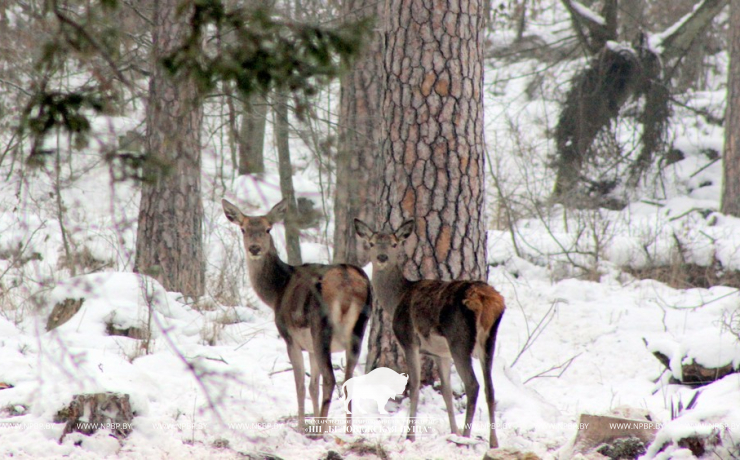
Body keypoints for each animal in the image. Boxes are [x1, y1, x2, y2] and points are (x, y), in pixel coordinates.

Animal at [218, 199, 370, 434]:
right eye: (243, 229)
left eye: (268, 229)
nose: (254, 248)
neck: (276, 292)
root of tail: (348, 283)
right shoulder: (309, 346)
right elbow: (312, 385)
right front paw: (312, 422)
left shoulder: (291, 338)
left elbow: (300, 385)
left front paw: (302, 427)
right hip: (357, 330)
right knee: (348, 380)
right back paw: (347, 431)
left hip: (321, 327)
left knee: (330, 379)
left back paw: (321, 432)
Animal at [354, 217, 506, 448]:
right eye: (371, 243)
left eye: (394, 244)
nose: (381, 257)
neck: (396, 299)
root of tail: (486, 300)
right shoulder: (440, 354)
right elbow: (446, 391)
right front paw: (451, 431)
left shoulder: (408, 341)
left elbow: (414, 386)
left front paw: (410, 437)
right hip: (489, 341)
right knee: (490, 389)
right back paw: (493, 443)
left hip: (459, 340)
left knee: (473, 385)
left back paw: (465, 437)